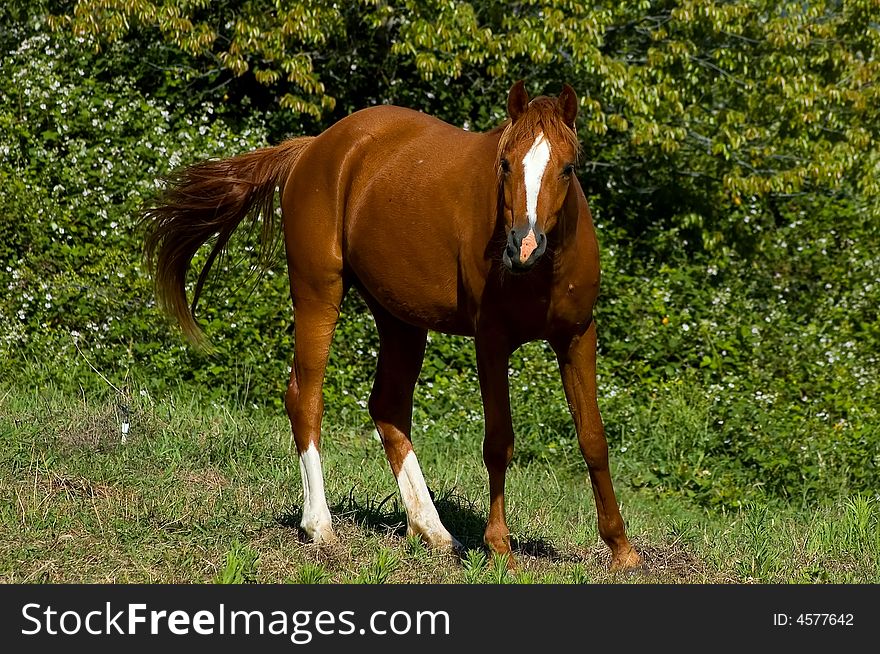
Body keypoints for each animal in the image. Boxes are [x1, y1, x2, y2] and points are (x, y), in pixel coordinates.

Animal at [143, 79, 640, 572]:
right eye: (504, 164)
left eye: (567, 168)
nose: (524, 245)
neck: (541, 272)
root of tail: (315, 147)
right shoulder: (492, 342)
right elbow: (499, 441)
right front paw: (500, 548)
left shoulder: (577, 337)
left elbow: (593, 440)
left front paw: (622, 549)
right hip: (318, 293)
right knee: (306, 398)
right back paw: (320, 526)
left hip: (400, 320)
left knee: (388, 407)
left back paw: (433, 530)